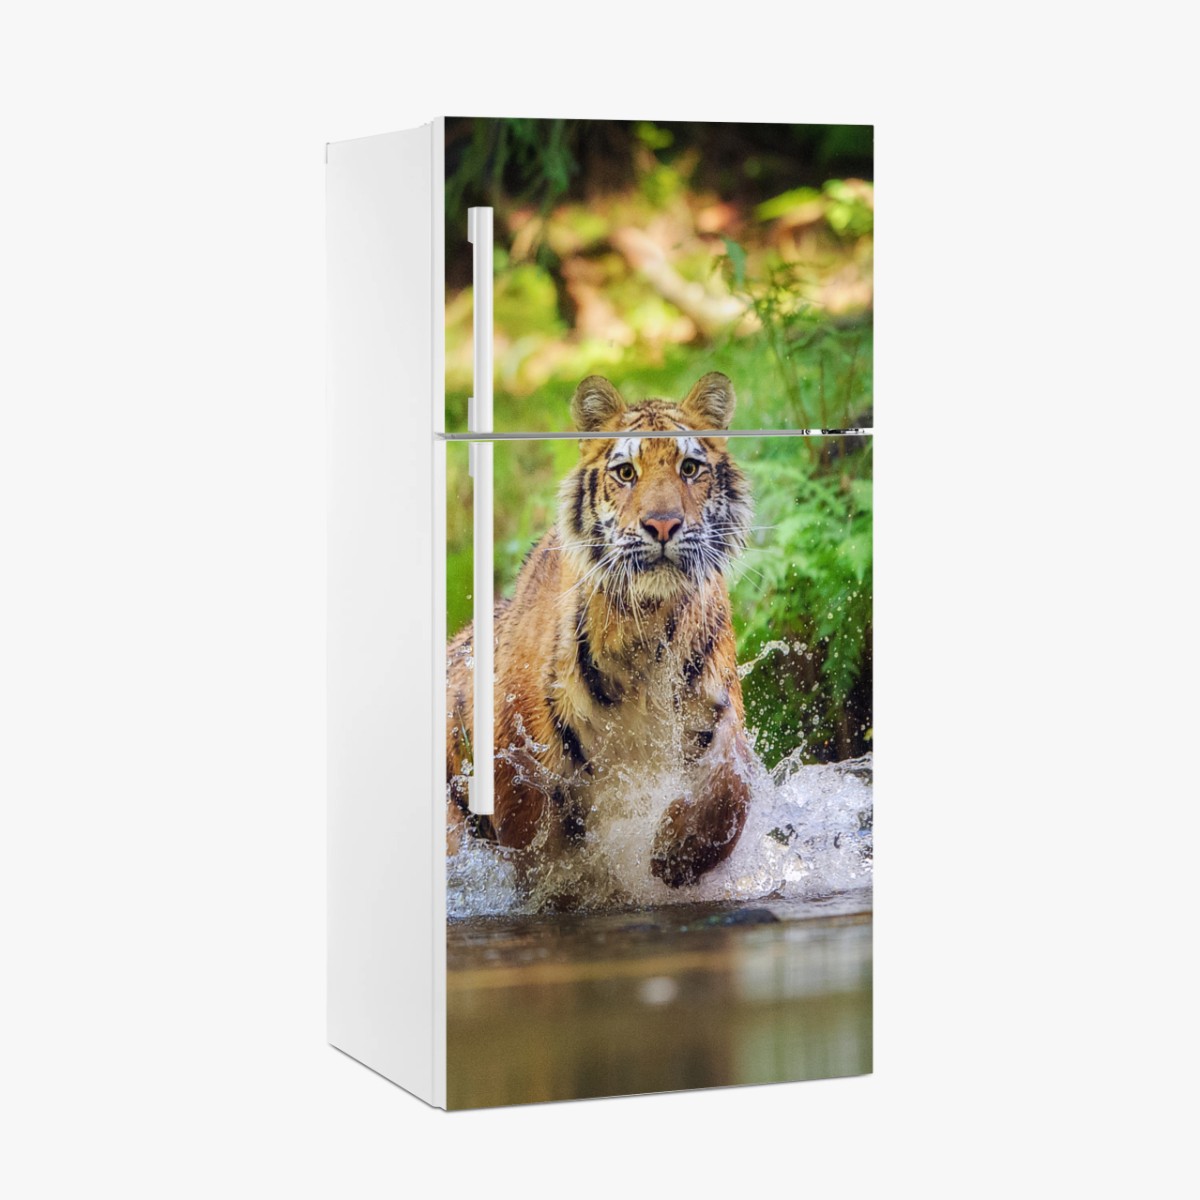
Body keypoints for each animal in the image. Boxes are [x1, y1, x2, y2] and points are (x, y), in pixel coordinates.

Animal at [446, 372, 754, 892]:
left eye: (690, 468)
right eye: (626, 473)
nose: (663, 525)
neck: (646, 627)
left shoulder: (719, 717)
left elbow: (731, 793)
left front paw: (673, 855)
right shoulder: (518, 759)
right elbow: (544, 851)